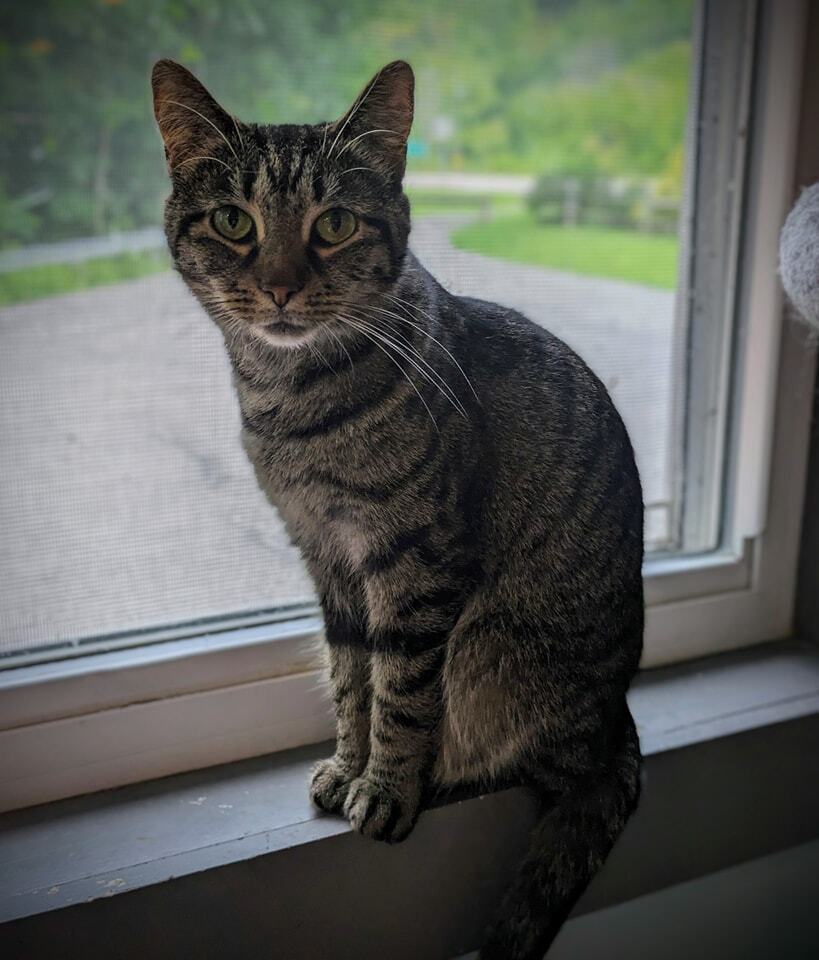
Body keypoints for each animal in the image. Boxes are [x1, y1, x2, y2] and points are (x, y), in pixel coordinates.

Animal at [151, 60, 644, 960]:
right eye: (234, 221)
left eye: (335, 223)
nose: (280, 285)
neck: (291, 405)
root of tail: (618, 716)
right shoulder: (328, 558)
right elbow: (351, 677)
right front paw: (350, 765)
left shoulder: (415, 561)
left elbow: (401, 690)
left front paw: (384, 786)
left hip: (495, 655)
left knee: (529, 760)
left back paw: (442, 775)